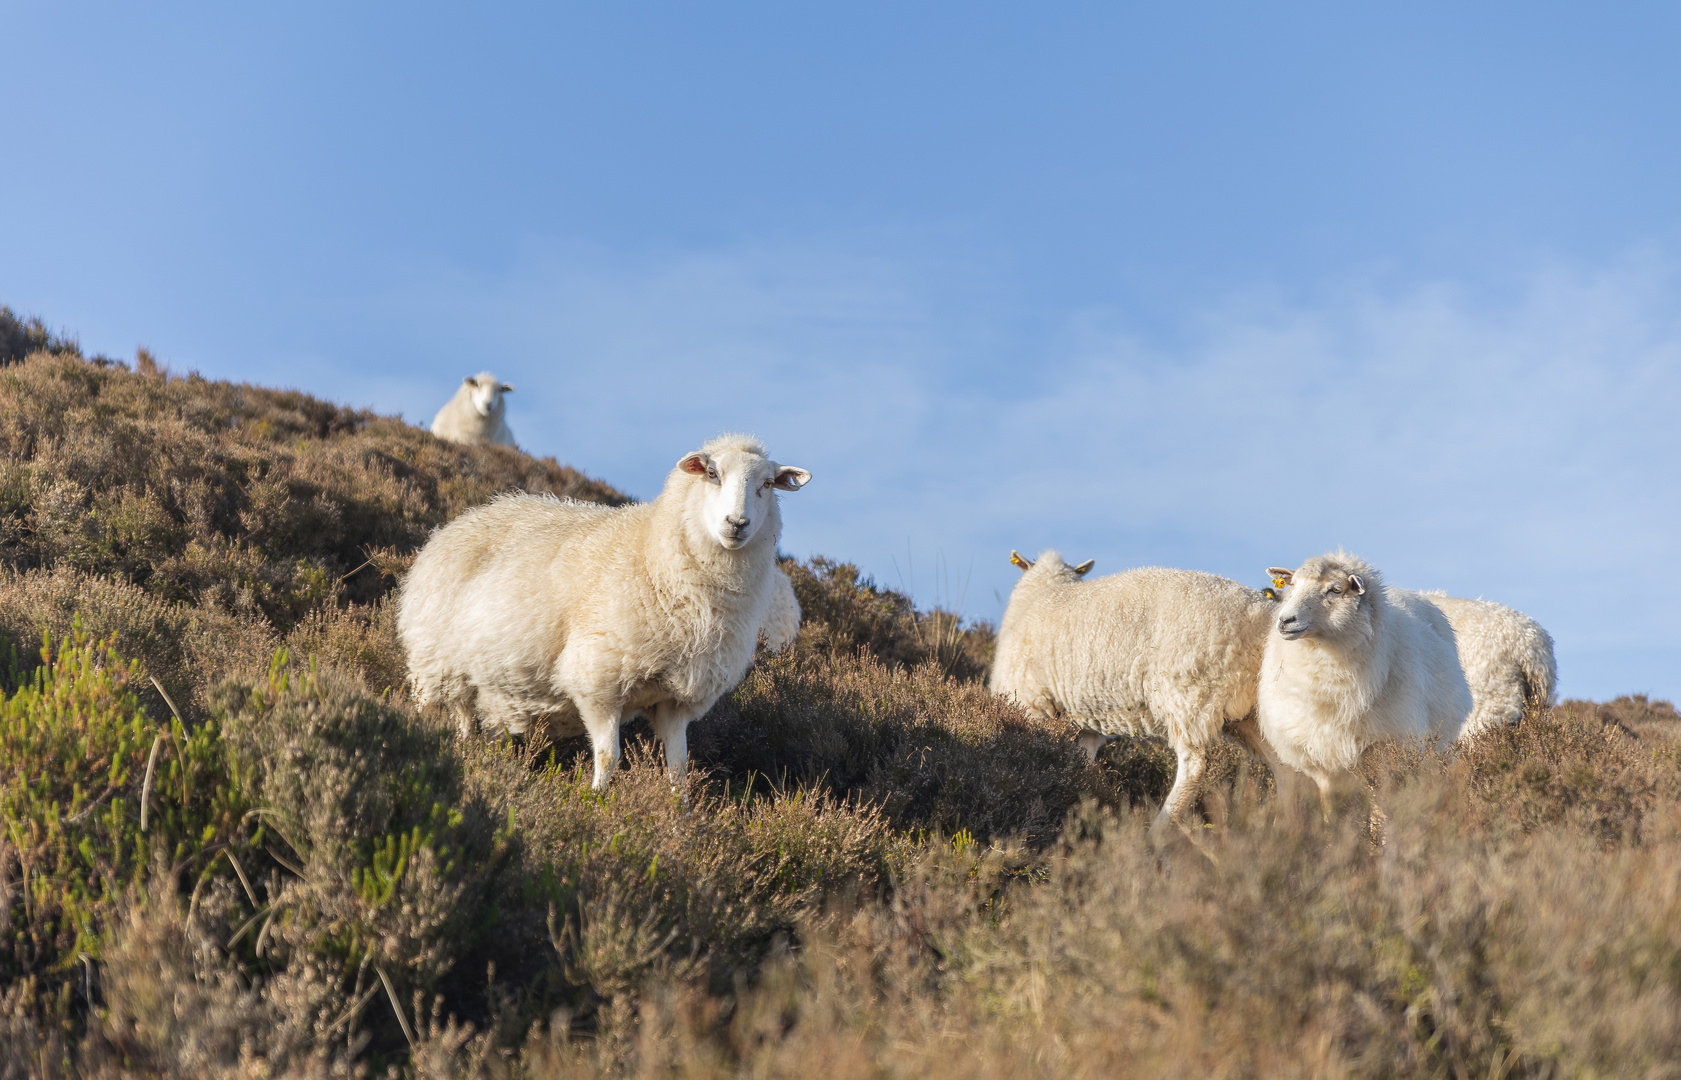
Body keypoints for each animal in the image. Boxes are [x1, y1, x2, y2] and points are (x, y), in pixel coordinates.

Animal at [988, 545, 1291, 834]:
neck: (1044, 592)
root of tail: (1261, 618)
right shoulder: (1087, 726)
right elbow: (1081, 761)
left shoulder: (1034, 704)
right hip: (1252, 713)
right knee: (1285, 768)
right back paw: (1283, 831)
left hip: (1190, 695)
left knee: (1193, 767)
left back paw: (1157, 833)